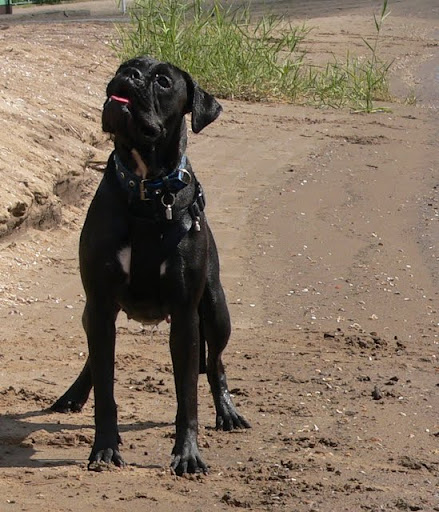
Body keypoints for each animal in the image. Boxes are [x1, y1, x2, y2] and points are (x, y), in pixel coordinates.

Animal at [51, 56, 250, 475]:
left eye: (163, 81)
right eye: (126, 66)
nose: (131, 77)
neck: (146, 187)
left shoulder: (186, 317)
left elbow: (187, 397)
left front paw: (188, 454)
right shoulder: (99, 303)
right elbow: (105, 388)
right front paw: (105, 448)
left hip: (215, 311)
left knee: (217, 364)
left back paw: (227, 411)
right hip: (93, 313)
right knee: (95, 355)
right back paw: (74, 394)